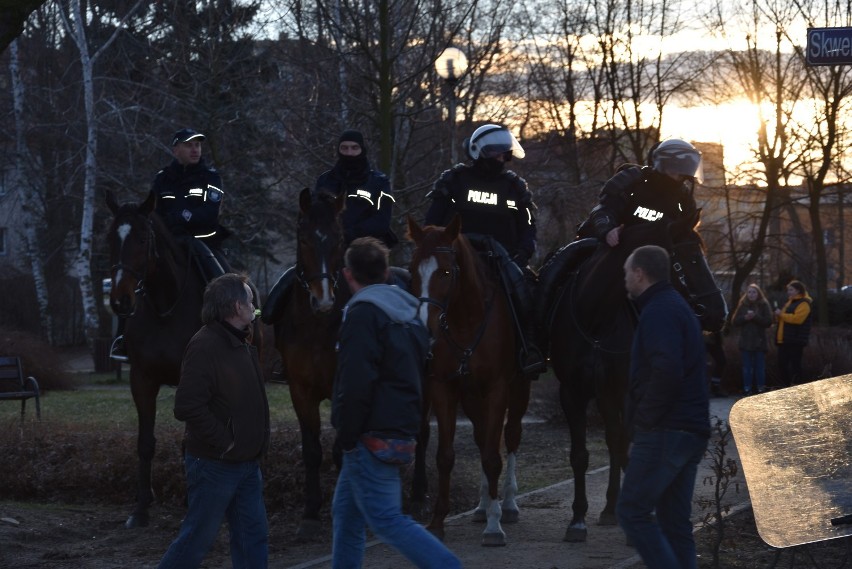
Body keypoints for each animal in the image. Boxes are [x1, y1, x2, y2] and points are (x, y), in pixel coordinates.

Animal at [404, 214, 528, 544]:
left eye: (446, 272)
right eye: (411, 271)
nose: (424, 326)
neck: (465, 321)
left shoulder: (498, 389)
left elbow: (493, 458)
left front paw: (495, 526)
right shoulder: (443, 387)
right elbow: (446, 456)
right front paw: (437, 521)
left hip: (518, 389)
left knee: (510, 436)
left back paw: (507, 504)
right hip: (471, 398)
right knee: (483, 437)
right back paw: (484, 505)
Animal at [544, 210, 728, 540]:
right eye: (692, 258)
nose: (720, 313)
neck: (595, 318)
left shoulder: (622, 390)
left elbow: (623, 444)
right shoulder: (571, 392)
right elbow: (579, 455)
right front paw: (577, 519)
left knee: (618, 441)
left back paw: (612, 507)